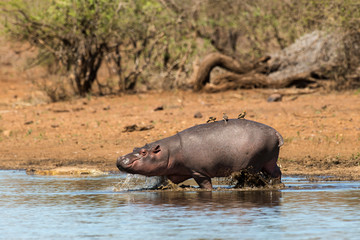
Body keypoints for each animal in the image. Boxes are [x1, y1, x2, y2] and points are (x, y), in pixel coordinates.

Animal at [116, 118, 282, 189]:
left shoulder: (198, 172)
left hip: (253, 164)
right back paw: (278, 185)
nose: (120, 158)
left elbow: (205, 186)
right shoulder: (172, 173)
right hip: (269, 159)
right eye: (134, 148)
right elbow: (163, 182)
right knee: (276, 172)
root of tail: (275, 132)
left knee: (249, 177)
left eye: (143, 152)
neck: (169, 152)